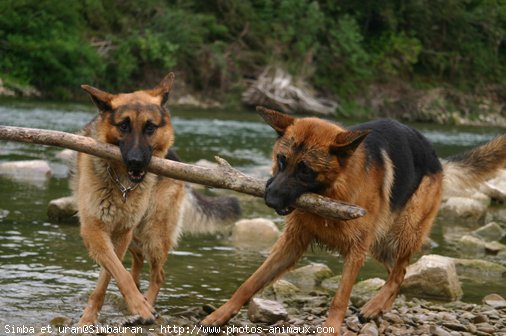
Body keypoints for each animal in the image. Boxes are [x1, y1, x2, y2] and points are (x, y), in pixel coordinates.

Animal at [73, 73, 241, 326]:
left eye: (150, 127)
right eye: (124, 126)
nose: (136, 162)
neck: (122, 183)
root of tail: (175, 158)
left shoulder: (120, 233)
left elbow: (111, 274)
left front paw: (139, 307)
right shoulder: (95, 231)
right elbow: (116, 272)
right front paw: (91, 317)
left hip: (153, 233)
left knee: (158, 274)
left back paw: (149, 304)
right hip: (137, 236)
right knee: (138, 260)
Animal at [204, 107, 506, 334]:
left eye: (305, 171)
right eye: (281, 159)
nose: (270, 199)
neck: (330, 192)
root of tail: (437, 158)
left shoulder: (356, 251)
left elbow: (340, 298)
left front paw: (331, 329)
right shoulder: (291, 244)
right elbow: (250, 282)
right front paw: (220, 314)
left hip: (401, 231)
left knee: (399, 272)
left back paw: (373, 306)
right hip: (381, 243)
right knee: (401, 273)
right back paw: (380, 307)